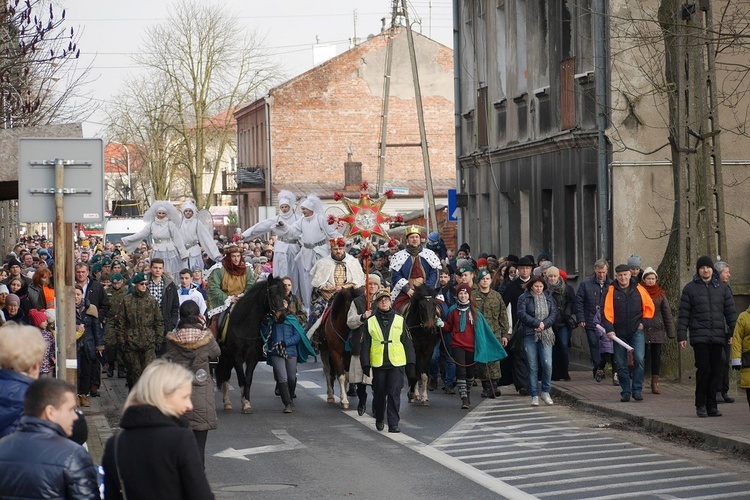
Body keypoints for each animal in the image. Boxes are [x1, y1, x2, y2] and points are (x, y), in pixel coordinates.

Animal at [219, 276, 290, 412]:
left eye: (284, 294)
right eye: (272, 293)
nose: (281, 316)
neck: (245, 326)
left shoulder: (253, 358)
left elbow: (248, 379)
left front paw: (246, 402)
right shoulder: (237, 357)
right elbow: (241, 379)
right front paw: (244, 402)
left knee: (225, 375)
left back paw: (227, 402)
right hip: (226, 356)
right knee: (224, 375)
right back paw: (226, 402)